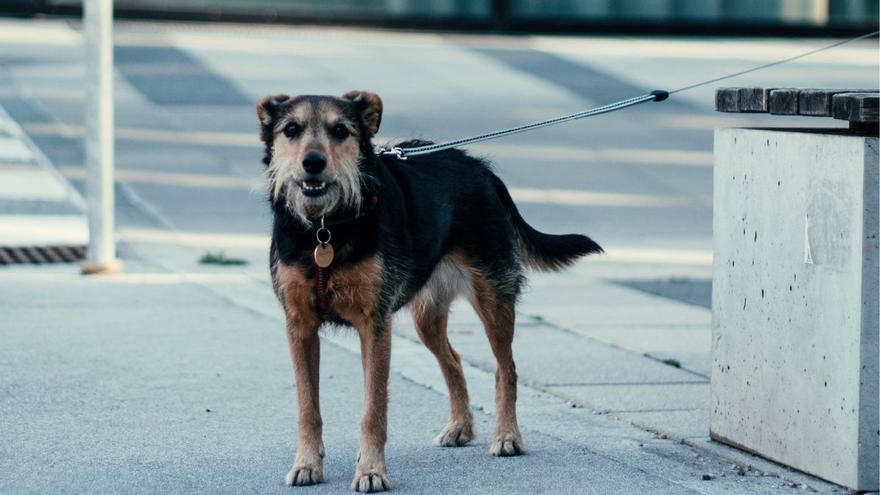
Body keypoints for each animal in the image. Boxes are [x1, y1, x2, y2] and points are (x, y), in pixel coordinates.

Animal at [258, 90, 600, 492]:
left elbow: (373, 409)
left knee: (507, 368)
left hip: (494, 298)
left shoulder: (375, 326)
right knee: (453, 361)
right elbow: (307, 407)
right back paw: (460, 427)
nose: (313, 163)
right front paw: (307, 464)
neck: (324, 230)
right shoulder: (300, 326)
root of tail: (480, 169)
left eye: (340, 130)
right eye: (291, 130)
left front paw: (371, 470)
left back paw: (506, 436)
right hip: (427, 316)